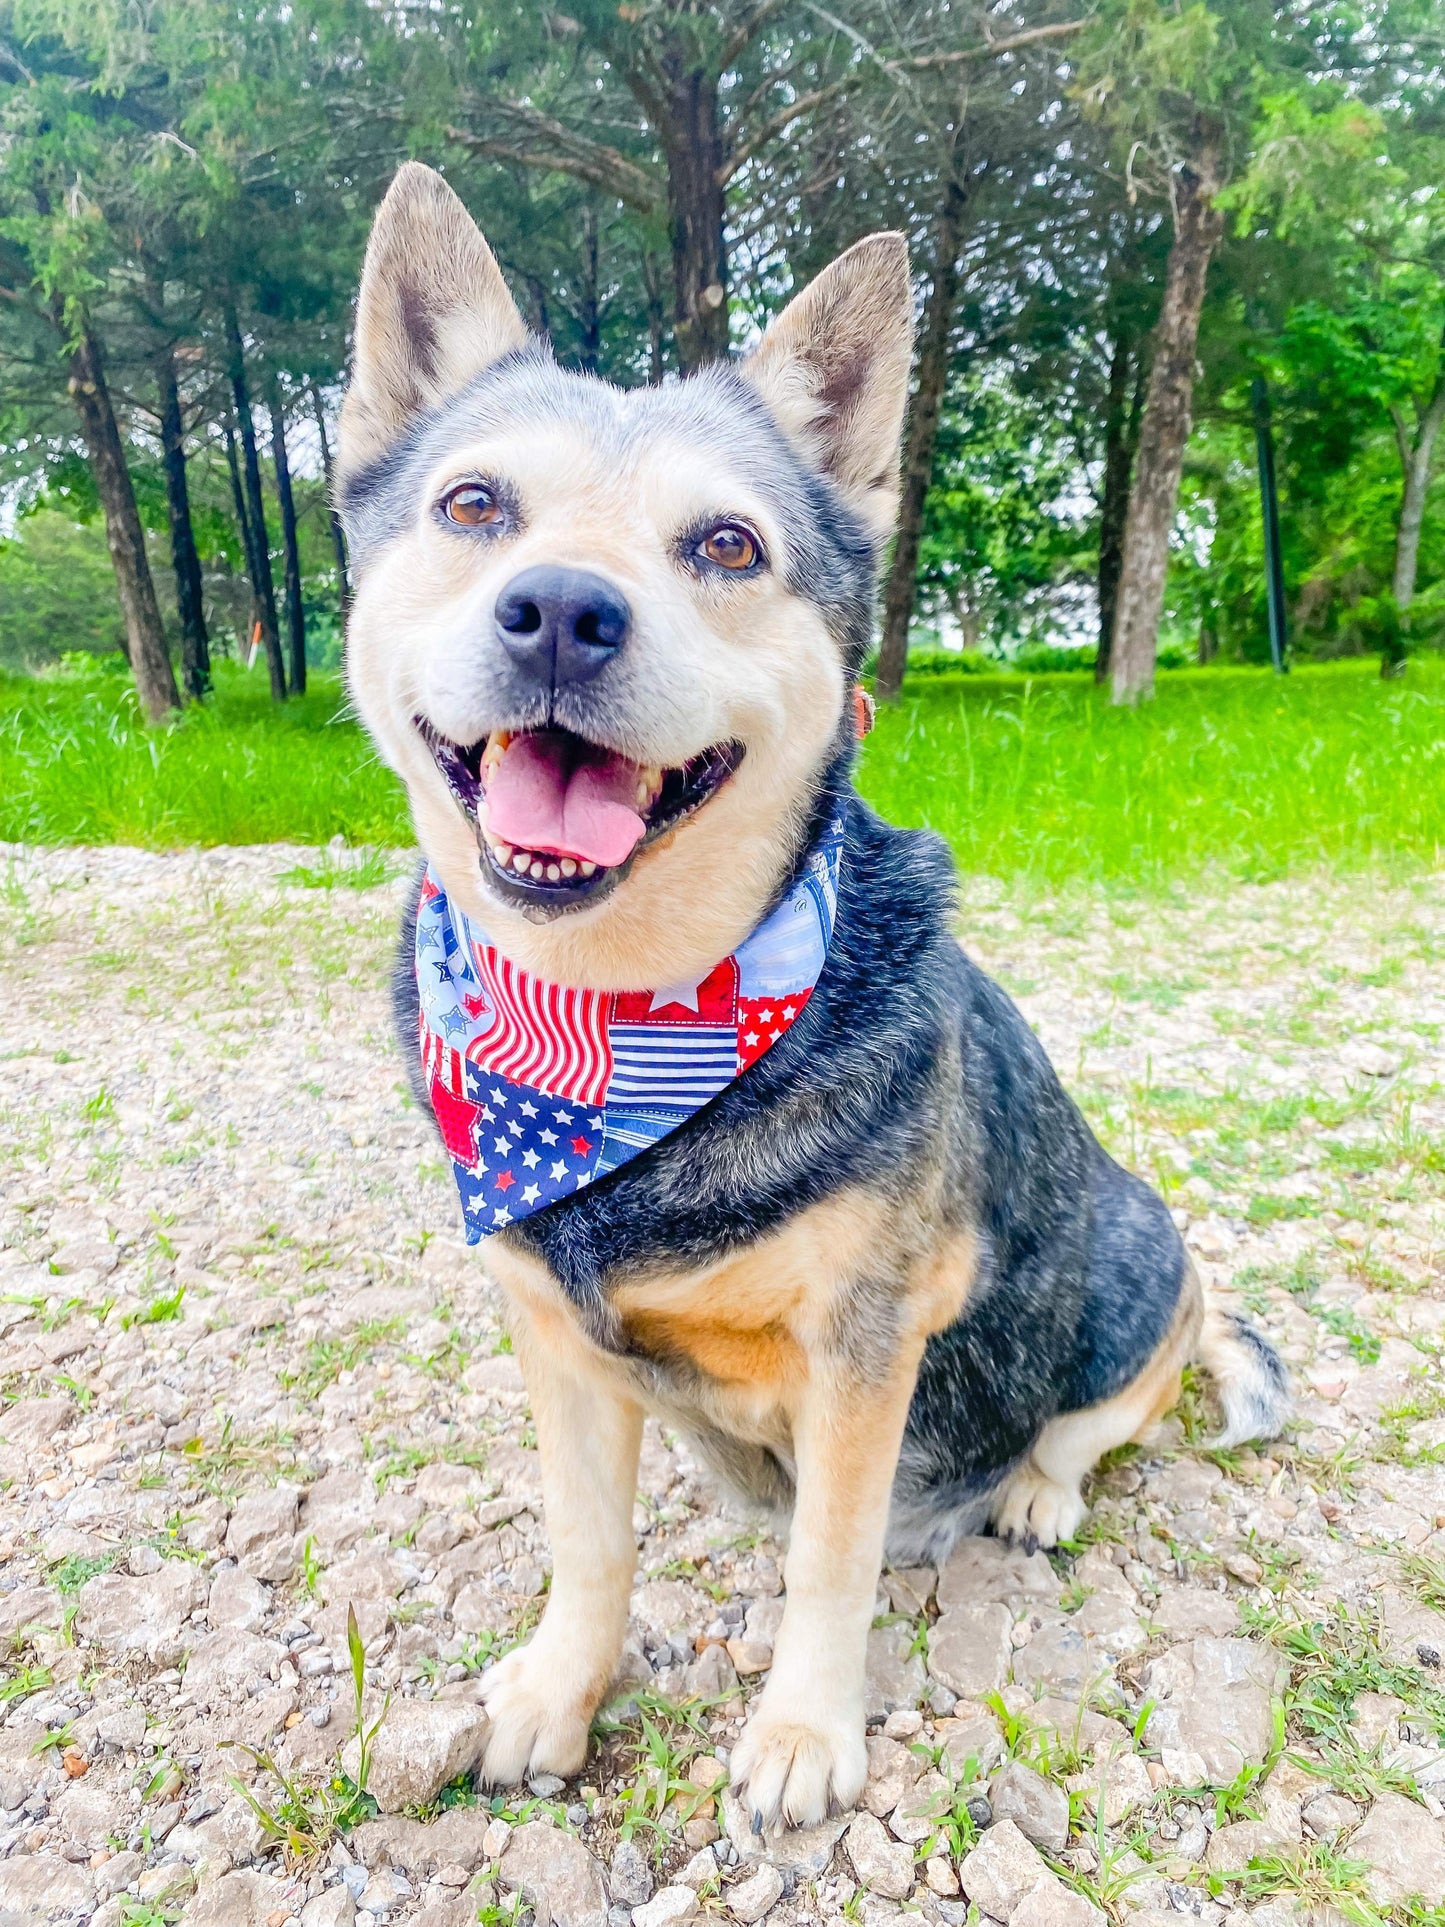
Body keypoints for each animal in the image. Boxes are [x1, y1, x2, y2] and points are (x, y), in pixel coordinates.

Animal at [337, 165, 1287, 1834]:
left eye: (725, 544)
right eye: (473, 507)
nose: (561, 610)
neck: (615, 1029)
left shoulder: (863, 1342)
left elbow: (829, 1556)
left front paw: (800, 1729)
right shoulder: (554, 1340)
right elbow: (589, 1542)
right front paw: (556, 1688)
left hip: (1138, 1265)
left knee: (1102, 1413)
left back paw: (1034, 1488)